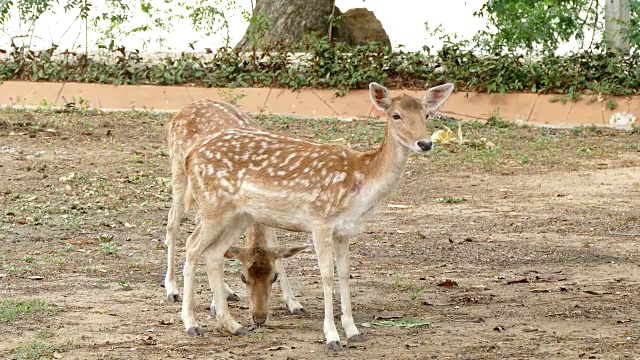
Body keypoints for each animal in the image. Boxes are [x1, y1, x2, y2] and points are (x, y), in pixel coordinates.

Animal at [162, 98, 308, 320]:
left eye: (273, 277)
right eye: (243, 277)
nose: (259, 317)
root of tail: (177, 115)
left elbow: (273, 243)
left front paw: (294, 303)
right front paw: (215, 303)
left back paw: (226, 292)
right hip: (178, 170)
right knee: (172, 221)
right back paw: (172, 289)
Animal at [180, 83, 456, 350]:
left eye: (427, 114)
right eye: (396, 115)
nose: (425, 143)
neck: (361, 183)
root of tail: (190, 156)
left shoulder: (344, 230)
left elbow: (344, 273)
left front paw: (353, 331)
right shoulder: (320, 221)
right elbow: (326, 275)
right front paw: (332, 336)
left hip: (240, 216)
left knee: (214, 253)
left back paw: (232, 324)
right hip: (213, 206)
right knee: (192, 246)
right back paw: (191, 323)